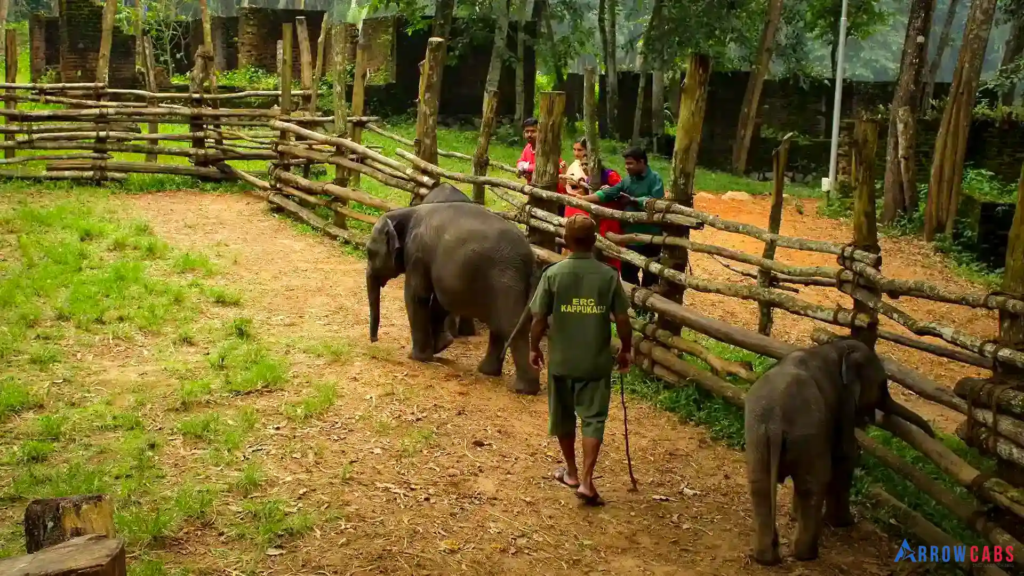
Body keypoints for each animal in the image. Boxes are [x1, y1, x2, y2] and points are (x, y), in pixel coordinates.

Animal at [365, 201, 541, 394]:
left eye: (369, 252)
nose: (374, 340)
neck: (405, 212)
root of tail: (532, 262)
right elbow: (439, 302)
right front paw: (441, 346)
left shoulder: (417, 254)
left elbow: (417, 296)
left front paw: (416, 357)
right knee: (500, 326)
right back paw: (487, 372)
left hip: (506, 283)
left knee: (511, 326)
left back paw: (524, 389)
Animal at [743, 339, 934, 566]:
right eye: (881, 384)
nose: (932, 435)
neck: (837, 346)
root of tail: (775, 418)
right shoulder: (844, 402)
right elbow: (846, 453)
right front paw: (844, 523)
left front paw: (794, 516)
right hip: (805, 431)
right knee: (813, 483)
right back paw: (807, 554)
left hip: (757, 432)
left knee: (761, 484)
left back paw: (766, 558)